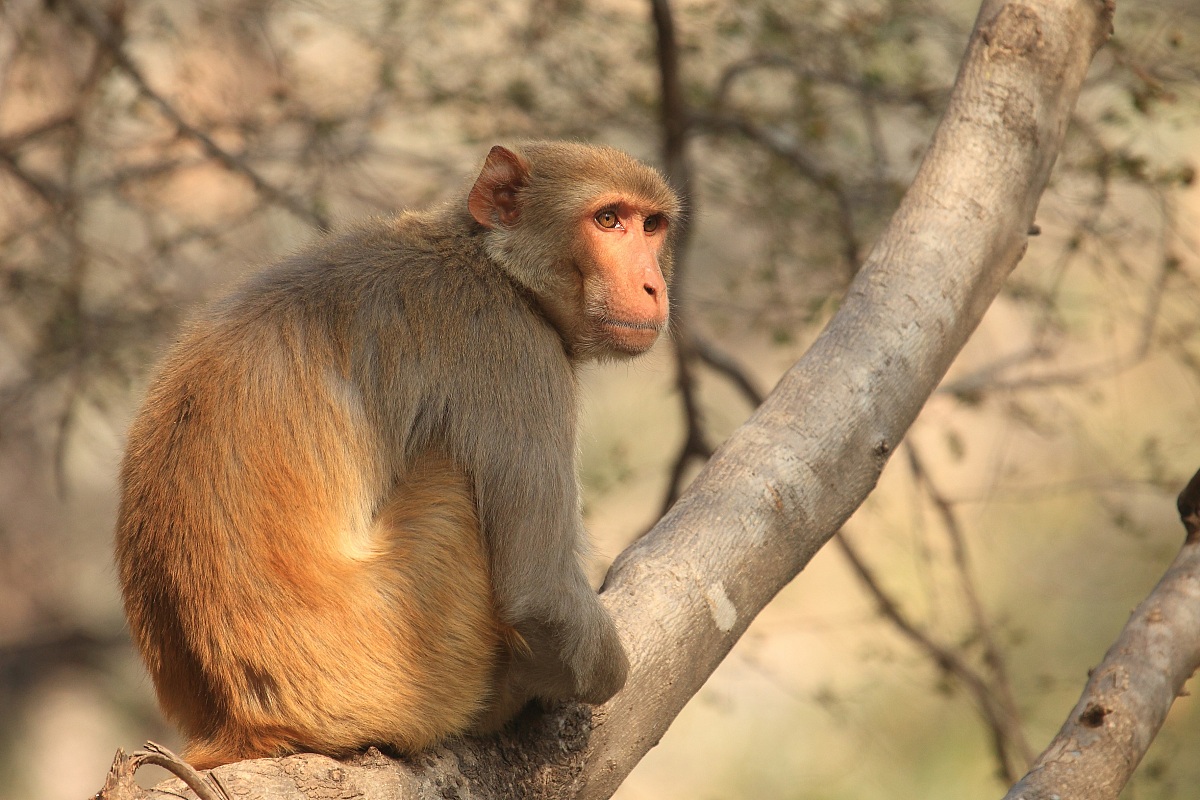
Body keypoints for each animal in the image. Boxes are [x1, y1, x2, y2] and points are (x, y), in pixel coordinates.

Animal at [115, 141, 680, 769]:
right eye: (608, 220)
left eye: (651, 226)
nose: (654, 287)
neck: (488, 263)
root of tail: (241, 722)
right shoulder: (515, 351)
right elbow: (541, 593)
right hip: (403, 663)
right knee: (453, 481)